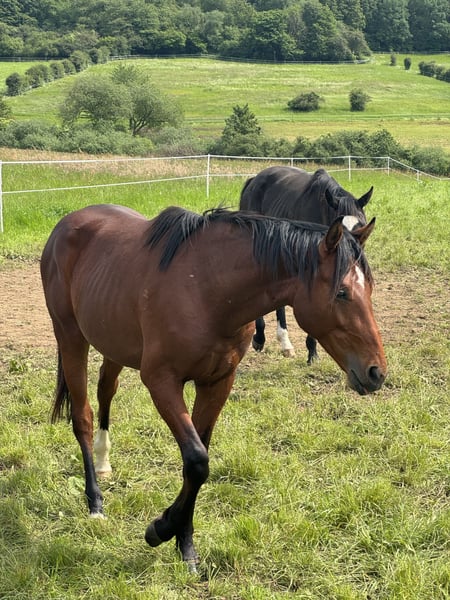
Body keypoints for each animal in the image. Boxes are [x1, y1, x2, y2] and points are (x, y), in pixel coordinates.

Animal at [40, 203, 386, 571]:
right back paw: (95, 503)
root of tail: (67, 223)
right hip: (71, 338)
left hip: (113, 341)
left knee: (106, 389)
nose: (376, 371)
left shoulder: (218, 382)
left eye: (370, 289)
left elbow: (197, 461)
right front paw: (160, 529)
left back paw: (105, 463)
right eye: (342, 292)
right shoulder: (162, 382)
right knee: (83, 417)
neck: (208, 290)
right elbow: (196, 460)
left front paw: (185, 543)